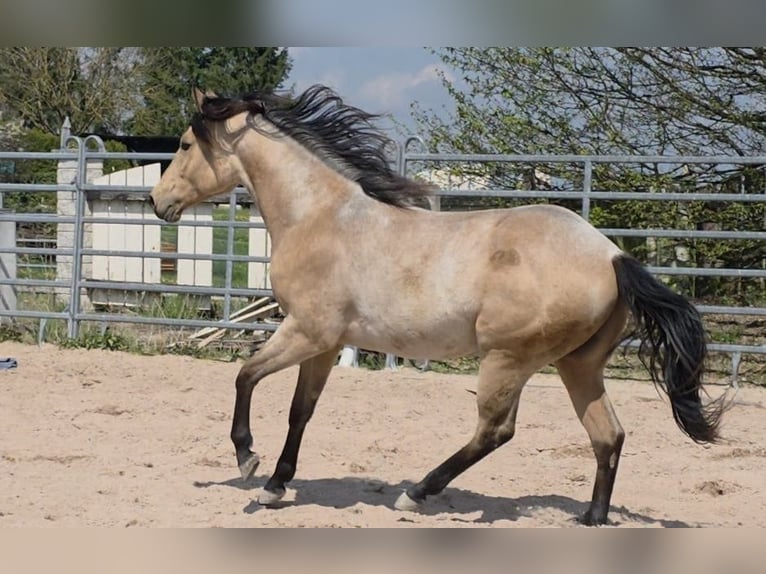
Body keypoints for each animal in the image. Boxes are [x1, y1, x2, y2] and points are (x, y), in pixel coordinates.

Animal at [149, 84, 727, 525]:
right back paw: (591, 519)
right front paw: (274, 485)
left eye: (184, 143)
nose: (158, 203)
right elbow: (300, 411)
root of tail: (611, 254)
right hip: (577, 364)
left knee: (496, 430)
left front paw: (248, 459)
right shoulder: (325, 343)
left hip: (508, 358)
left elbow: (245, 376)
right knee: (608, 436)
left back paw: (417, 493)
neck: (320, 216)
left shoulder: (306, 330)